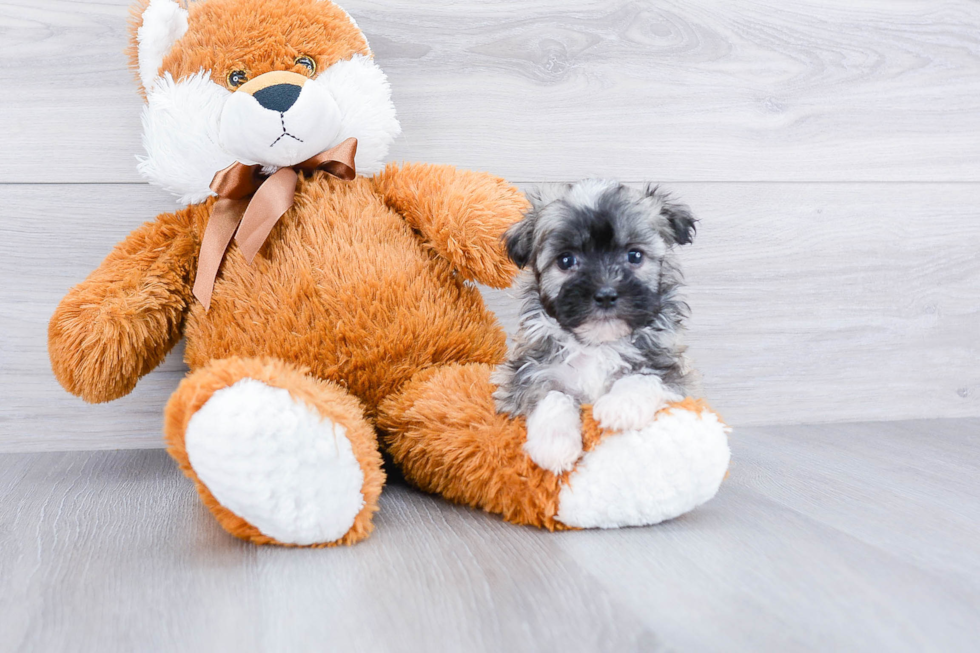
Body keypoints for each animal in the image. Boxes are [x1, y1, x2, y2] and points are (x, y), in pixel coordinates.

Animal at [494, 180, 700, 474]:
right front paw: (554, 445)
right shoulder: (523, 371)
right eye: (566, 260)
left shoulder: (675, 372)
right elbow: (548, 393)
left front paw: (621, 406)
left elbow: (646, 376)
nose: (605, 294)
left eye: (634, 255)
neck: (598, 345)